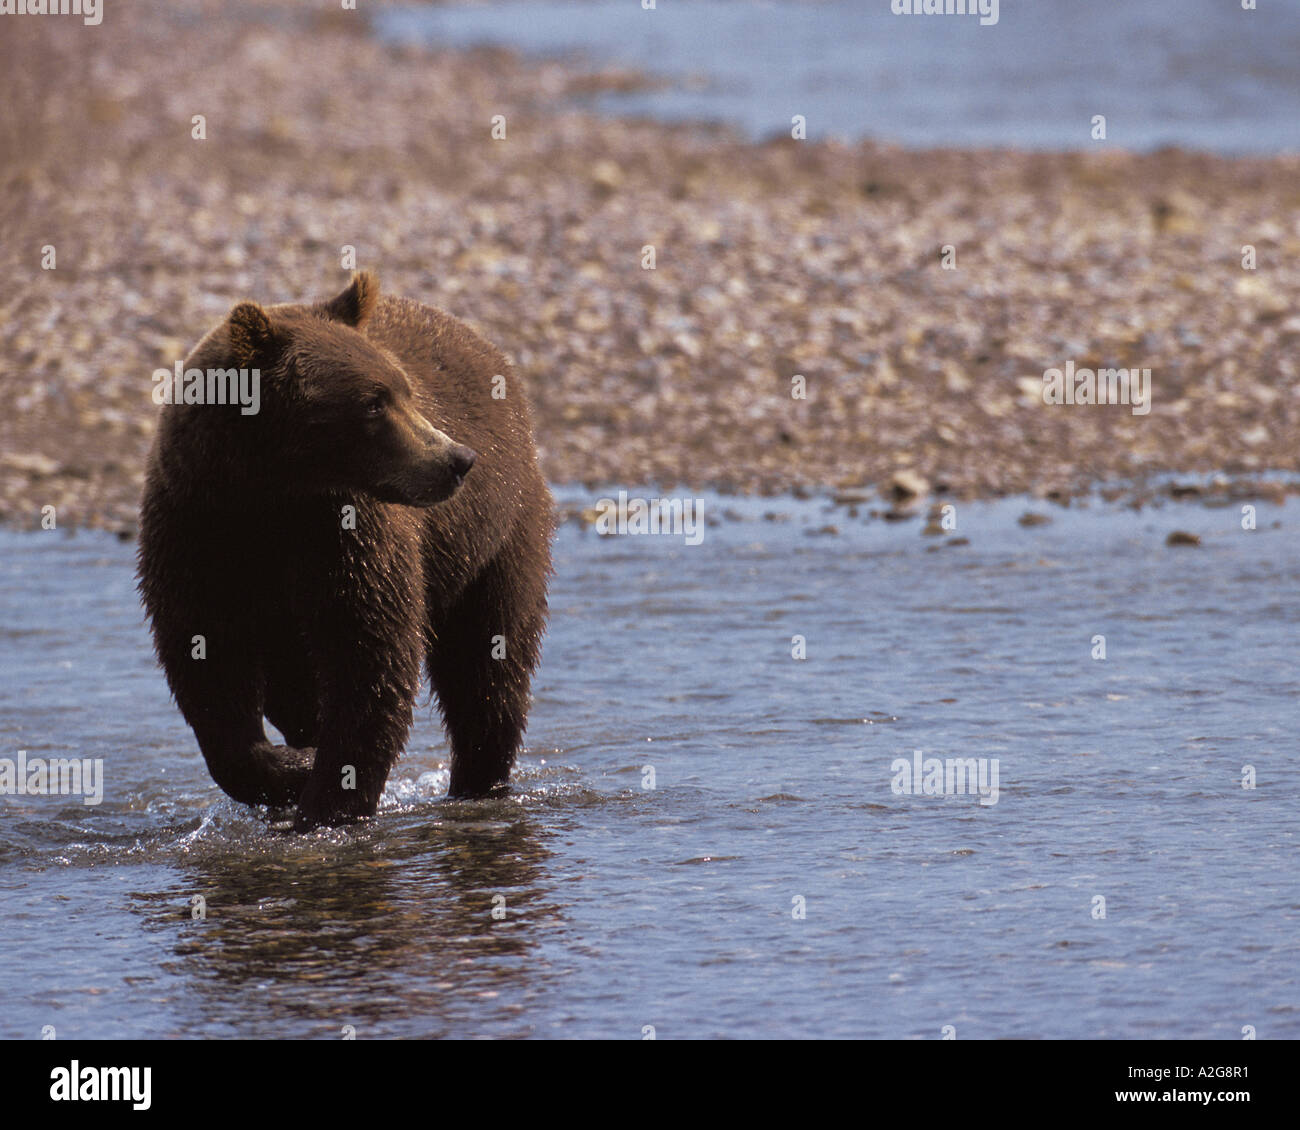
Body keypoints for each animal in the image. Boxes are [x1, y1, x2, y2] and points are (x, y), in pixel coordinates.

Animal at [138, 271, 553, 827]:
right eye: (374, 402)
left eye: (403, 390)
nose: (457, 459)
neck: (268, 500)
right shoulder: (196, 533)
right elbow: (207, 663)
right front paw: (291, 773)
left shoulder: (347, 533)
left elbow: (369, 655)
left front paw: (326, 804)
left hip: (497, 537)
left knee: (488, 665)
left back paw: (479, 784)